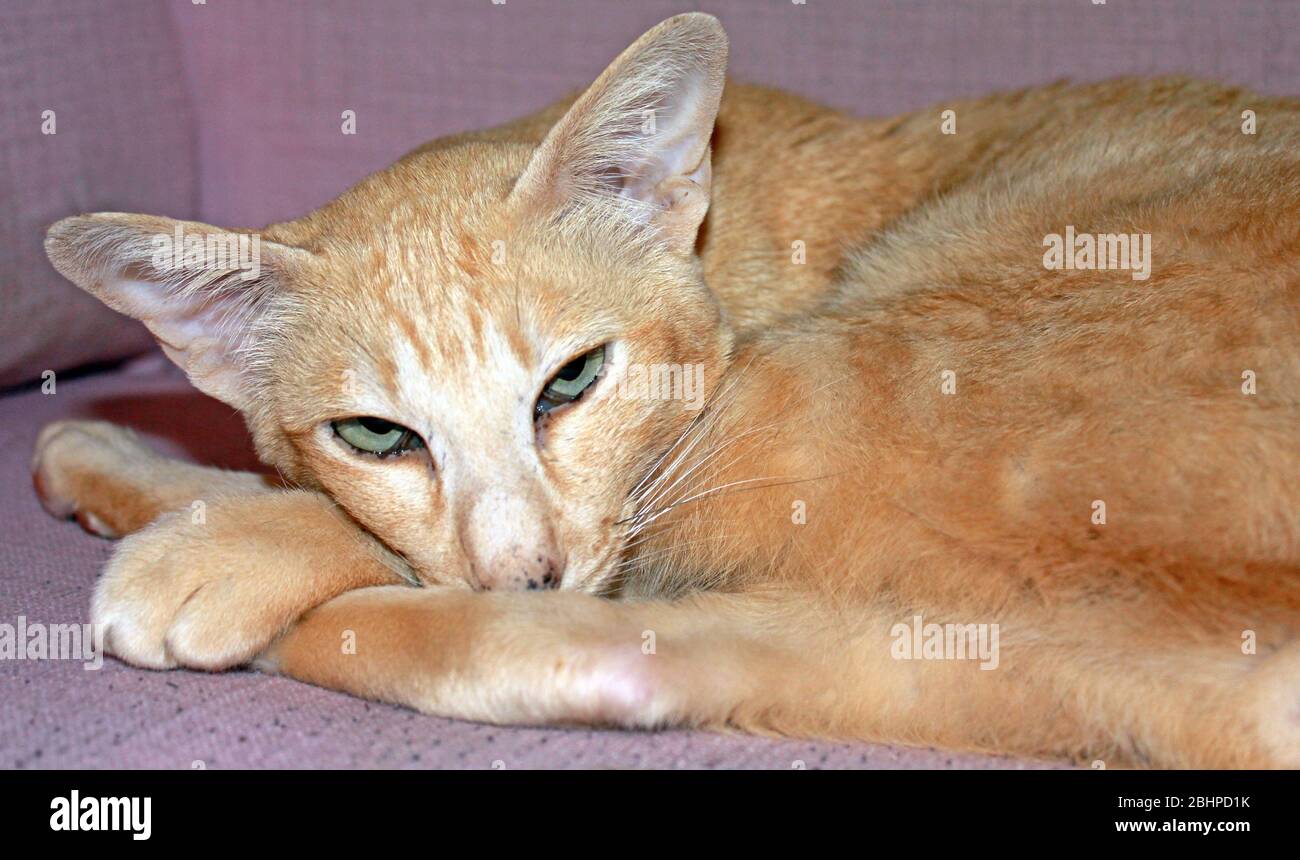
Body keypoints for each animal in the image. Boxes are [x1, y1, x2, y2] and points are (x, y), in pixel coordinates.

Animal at [32, 13, 1300, 769]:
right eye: (376, 434)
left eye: (573, 379)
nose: (527, 568)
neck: (739, 211)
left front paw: (216, 534)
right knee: (601, 658)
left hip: (815, 398)